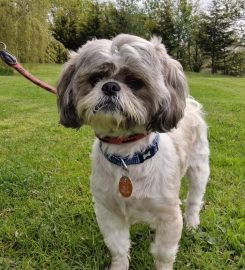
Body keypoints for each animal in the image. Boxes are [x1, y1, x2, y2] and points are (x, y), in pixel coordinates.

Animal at [56, 34, 210, 270]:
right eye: (95, 78)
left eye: (135, 82)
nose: (110, 86)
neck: (126, 155)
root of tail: (191, 106)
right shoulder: (108, 212)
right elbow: (118, 247)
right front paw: (119, 265)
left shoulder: (169, 216)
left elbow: (164, 254)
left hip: (199, 168)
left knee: (194, 199)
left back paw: (193, 224)